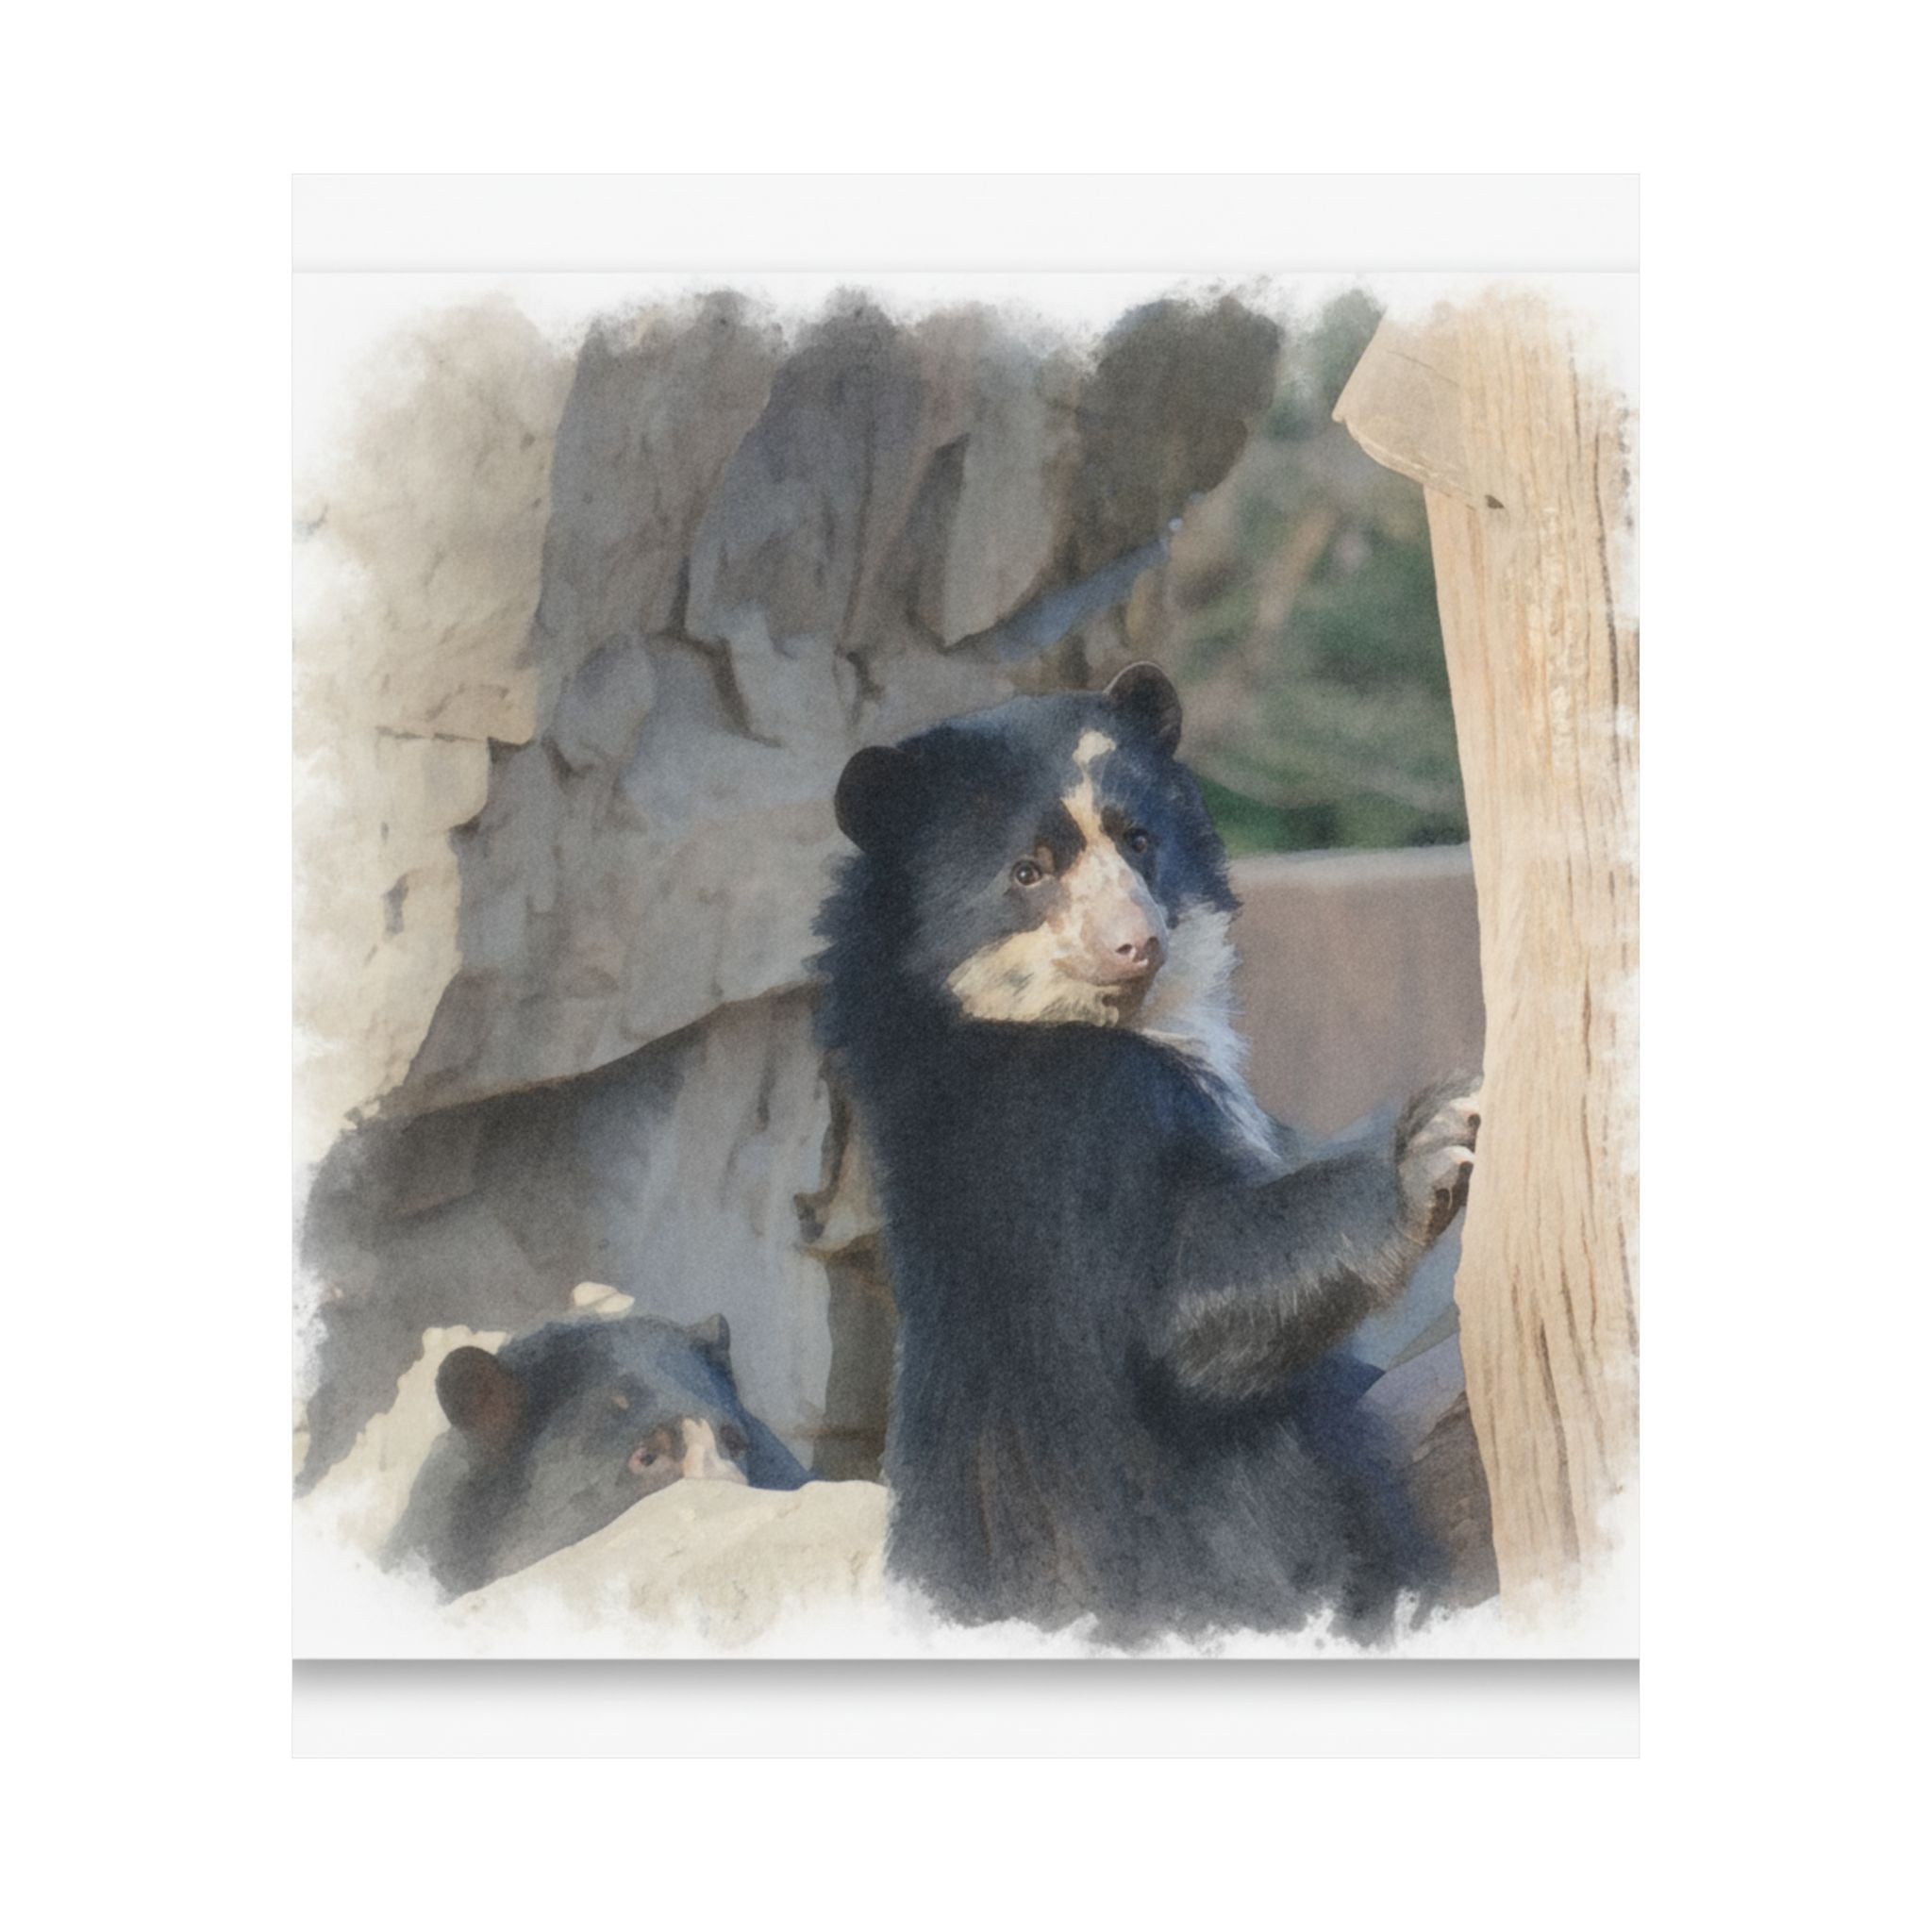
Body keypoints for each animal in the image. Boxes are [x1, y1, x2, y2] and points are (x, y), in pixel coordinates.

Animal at [814, 662, 1478, 1642]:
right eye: (1029, 870)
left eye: (1139, 839)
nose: (1136, 943)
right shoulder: (1076, 1130)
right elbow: (1188, 1296)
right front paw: (1436, 1139)